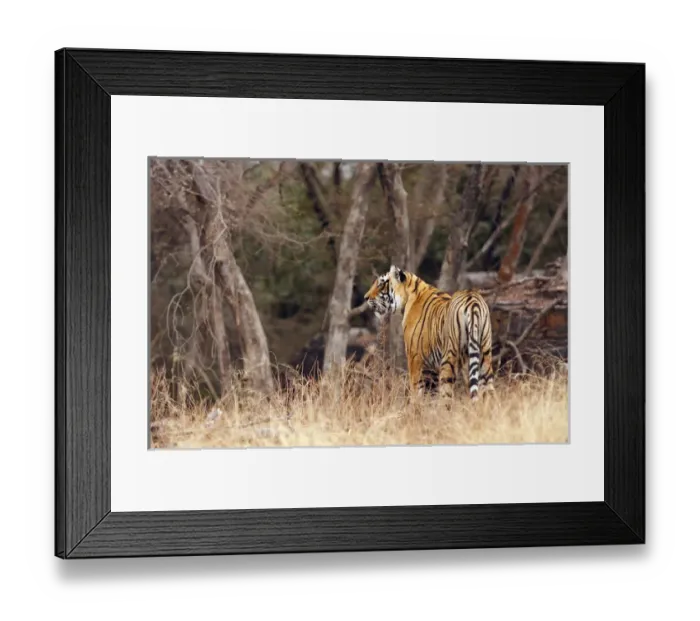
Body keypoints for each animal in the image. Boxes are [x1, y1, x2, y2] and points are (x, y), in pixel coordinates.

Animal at [363, 265, 494, 400]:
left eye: (381, 283)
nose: (365, 297)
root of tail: (472, 299)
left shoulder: (414, 358)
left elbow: (416, 389)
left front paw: (415, 405)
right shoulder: (431, 368)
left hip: (449, 356)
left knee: (447, 394)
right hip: (484, 355)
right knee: (489, 391)